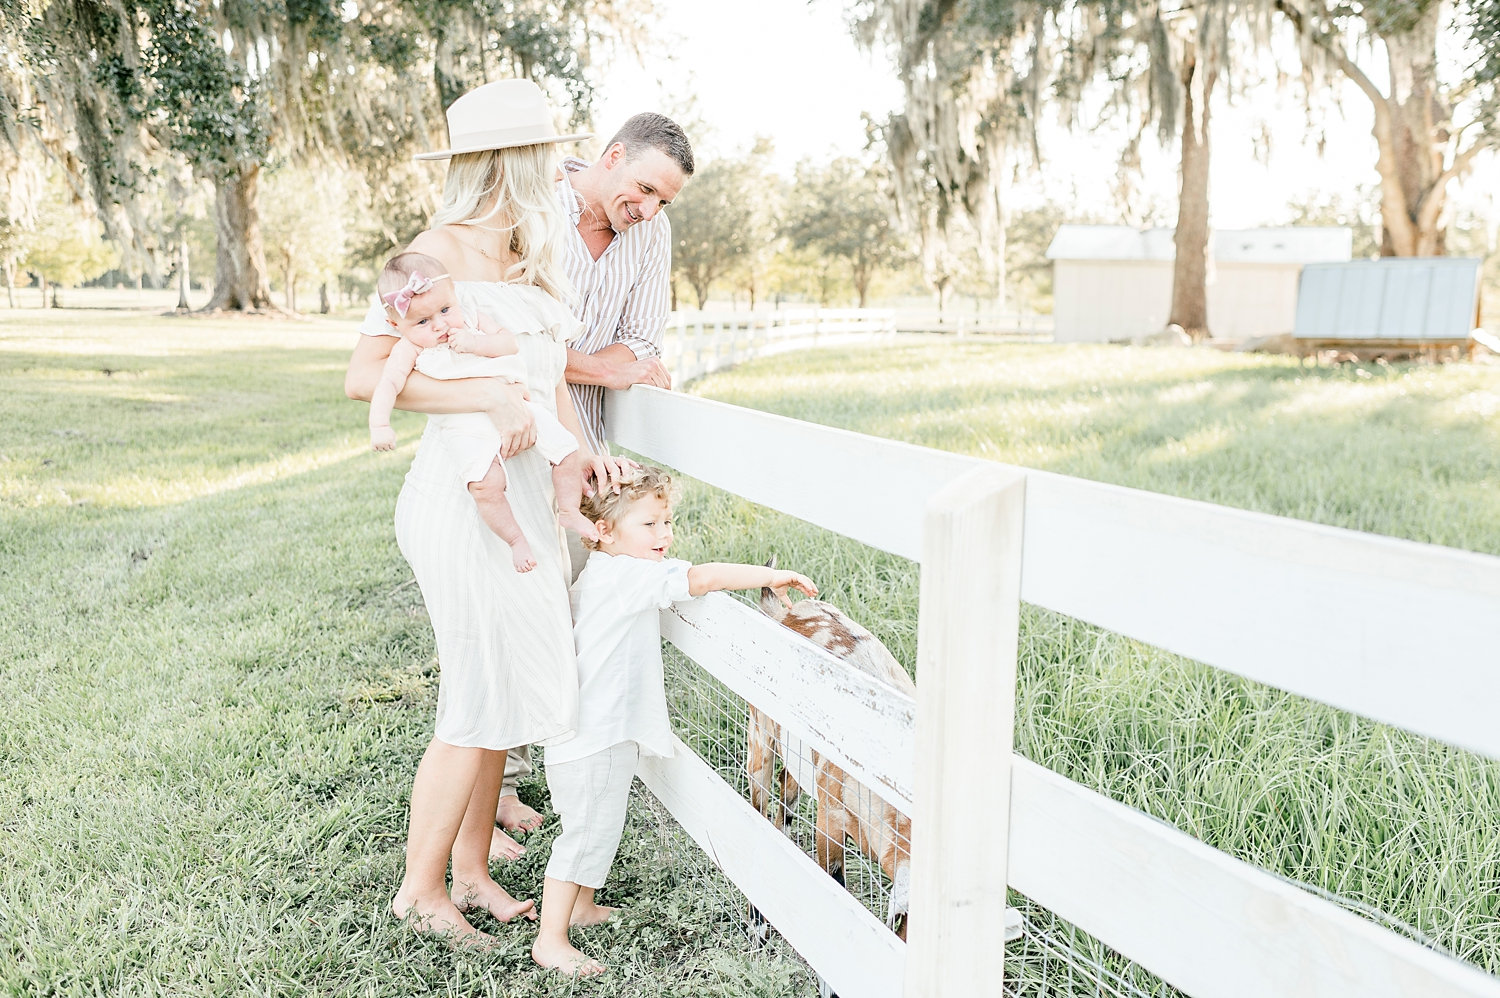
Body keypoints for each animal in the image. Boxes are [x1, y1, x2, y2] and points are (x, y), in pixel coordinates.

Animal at [747, 579, 912, 936]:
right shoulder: (830, 815)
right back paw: (758, 926)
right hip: (759, 728)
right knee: (758, 801)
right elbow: (835, 882)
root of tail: (782, 611)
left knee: (786, 783)